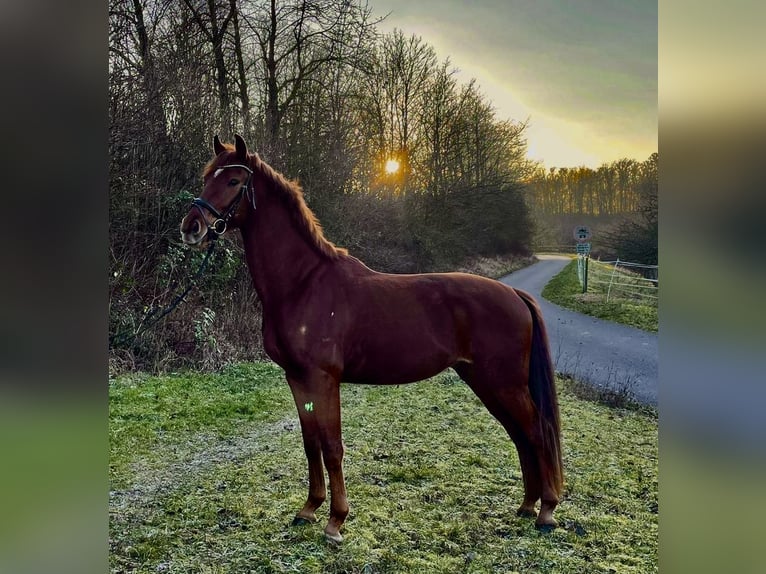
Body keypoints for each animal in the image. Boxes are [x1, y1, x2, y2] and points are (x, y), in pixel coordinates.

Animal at [180, 136, 564, 544]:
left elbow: (332, 447)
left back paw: (546, 512)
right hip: (486, 382)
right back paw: (527, 506)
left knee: (536, 433)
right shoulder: (296, 378)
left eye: (234, 180)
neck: (304, 284)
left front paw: (336, 521)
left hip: (505, 384)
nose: (191, 227)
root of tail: (514, 294)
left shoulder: (323, 379)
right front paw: (309, 509)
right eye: (207, 177)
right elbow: (310, 444)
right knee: (520, 436)